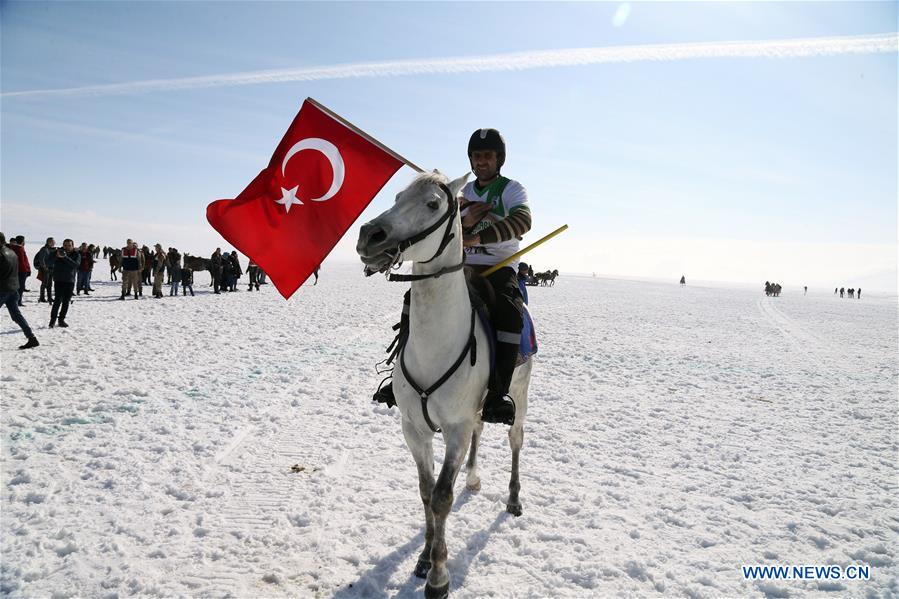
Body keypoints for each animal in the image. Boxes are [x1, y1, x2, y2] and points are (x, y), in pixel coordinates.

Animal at [357, 172, 533, 599]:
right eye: (397, 197)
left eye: (434, 204)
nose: (370, 235)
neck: (435, 343)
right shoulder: (413, 429)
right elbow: (424, 491)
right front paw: (423, 559)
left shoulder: (454, 428)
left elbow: (441, 496)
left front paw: (439, 576)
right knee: (482, 429)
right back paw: (473, 478)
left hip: (520, 395)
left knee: (515, 440)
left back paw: (513, 499)